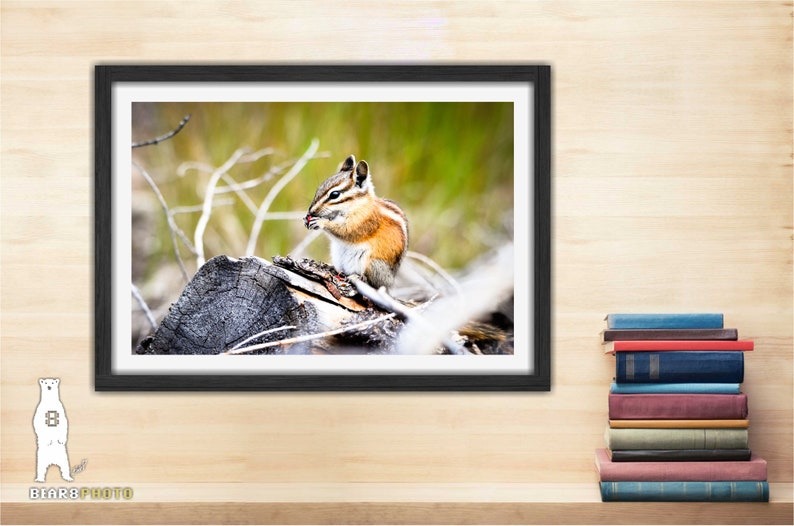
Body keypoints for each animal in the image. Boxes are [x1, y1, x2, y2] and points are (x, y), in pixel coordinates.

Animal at [304, 155, 408, 289]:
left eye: (334, 194)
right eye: (318, 188)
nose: (311, 211)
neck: (358, 204)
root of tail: (390, 284)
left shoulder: (364, 221)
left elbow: (346, 231)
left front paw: (321, 222)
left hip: (373, 264)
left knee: (375, 284)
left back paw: (359, 277)